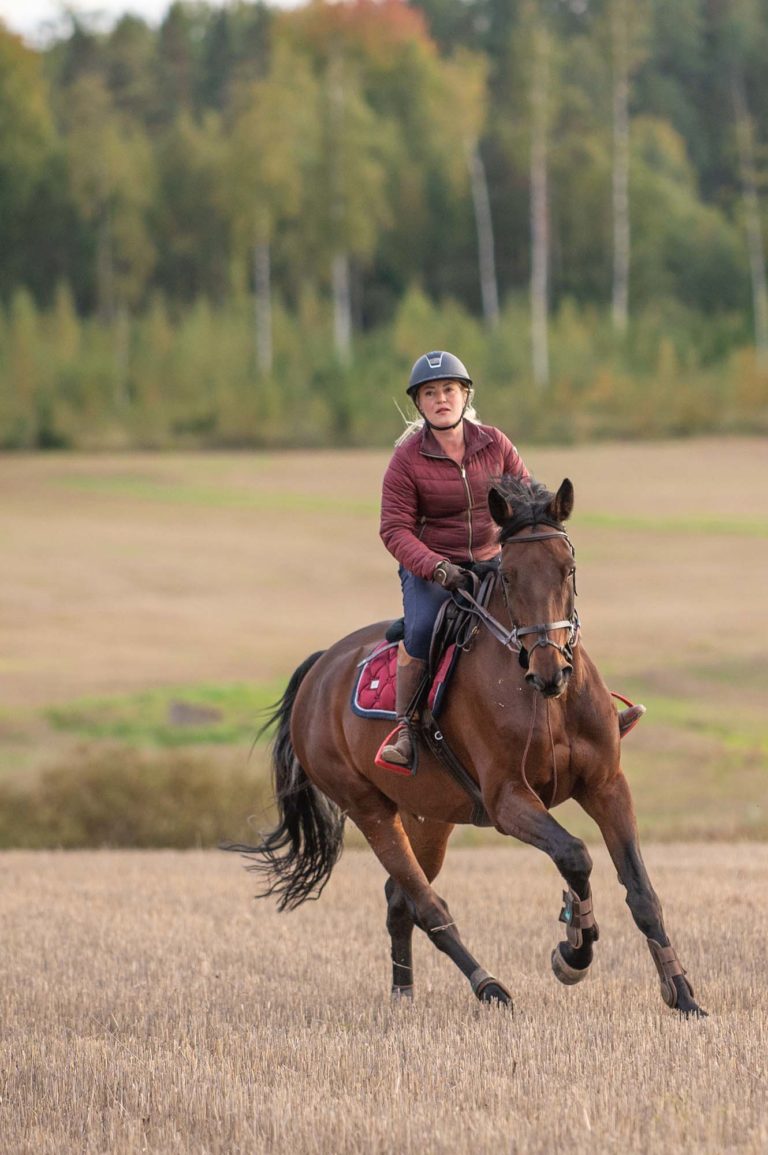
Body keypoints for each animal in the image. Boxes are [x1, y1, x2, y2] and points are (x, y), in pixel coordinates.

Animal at [235, 473, 706, 1016]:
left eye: (568, 569)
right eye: (510, 577)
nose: (550, 671)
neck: (547, 701)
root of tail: (319, 670)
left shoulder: (606, 786)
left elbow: (642, 892)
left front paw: (682, 993)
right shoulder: (508, 801)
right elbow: (575, 856)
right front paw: (572, 952)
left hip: (429, 818)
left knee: (398, 899)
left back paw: (404, 993)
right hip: (369, 810)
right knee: (426, 905)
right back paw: (490, 987)